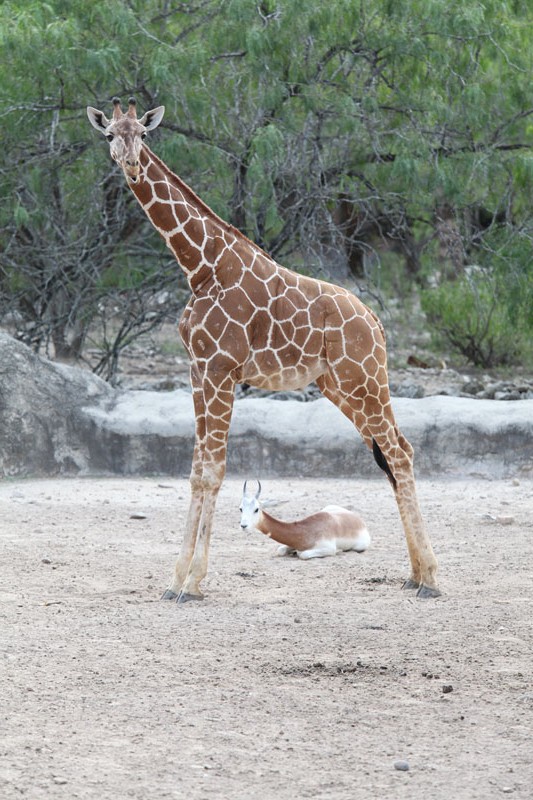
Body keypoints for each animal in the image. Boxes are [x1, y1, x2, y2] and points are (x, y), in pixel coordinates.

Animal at [239, 481, 371, 559]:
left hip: (360, 546)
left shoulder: (328, 549)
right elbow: (281, 550)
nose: (243, 525)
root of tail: (359, 520)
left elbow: (302, 554)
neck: (306, 531)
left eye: (256, 509)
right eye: (240, 508)